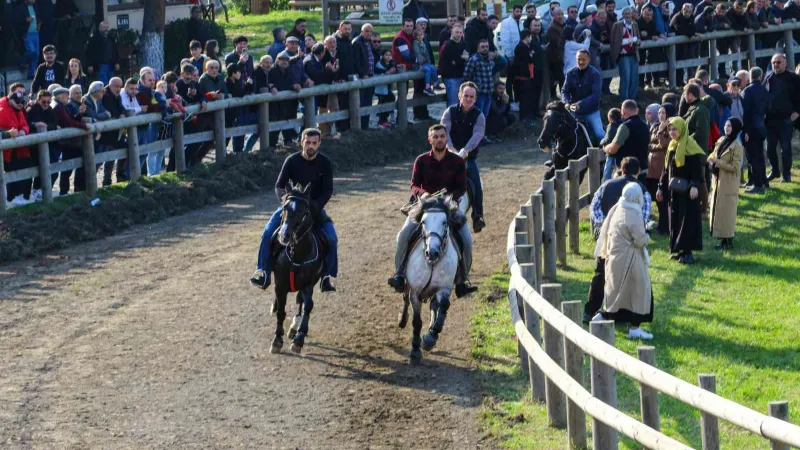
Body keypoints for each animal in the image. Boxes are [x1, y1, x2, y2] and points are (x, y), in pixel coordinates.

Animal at [270, 181, 324, 354]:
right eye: (285, 207)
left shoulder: (309, 283)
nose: (284, 235)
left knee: (301, 301)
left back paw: (295, 327)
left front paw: (299, 338)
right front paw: (277, 340)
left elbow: (307, 305)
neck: (296, 255)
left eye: (303, 210)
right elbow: (281, 311)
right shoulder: (280, 285)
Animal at [396, 198, 460, 366]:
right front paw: (415, 352)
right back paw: (402, 320)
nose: (432, 252)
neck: (431, 263)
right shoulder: (415, 292)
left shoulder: (443, 289)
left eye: (445, 222)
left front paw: (430, 338)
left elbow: (442, 309)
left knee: (435, 306)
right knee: (404, 298)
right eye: (423, 222)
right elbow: (417, 321)